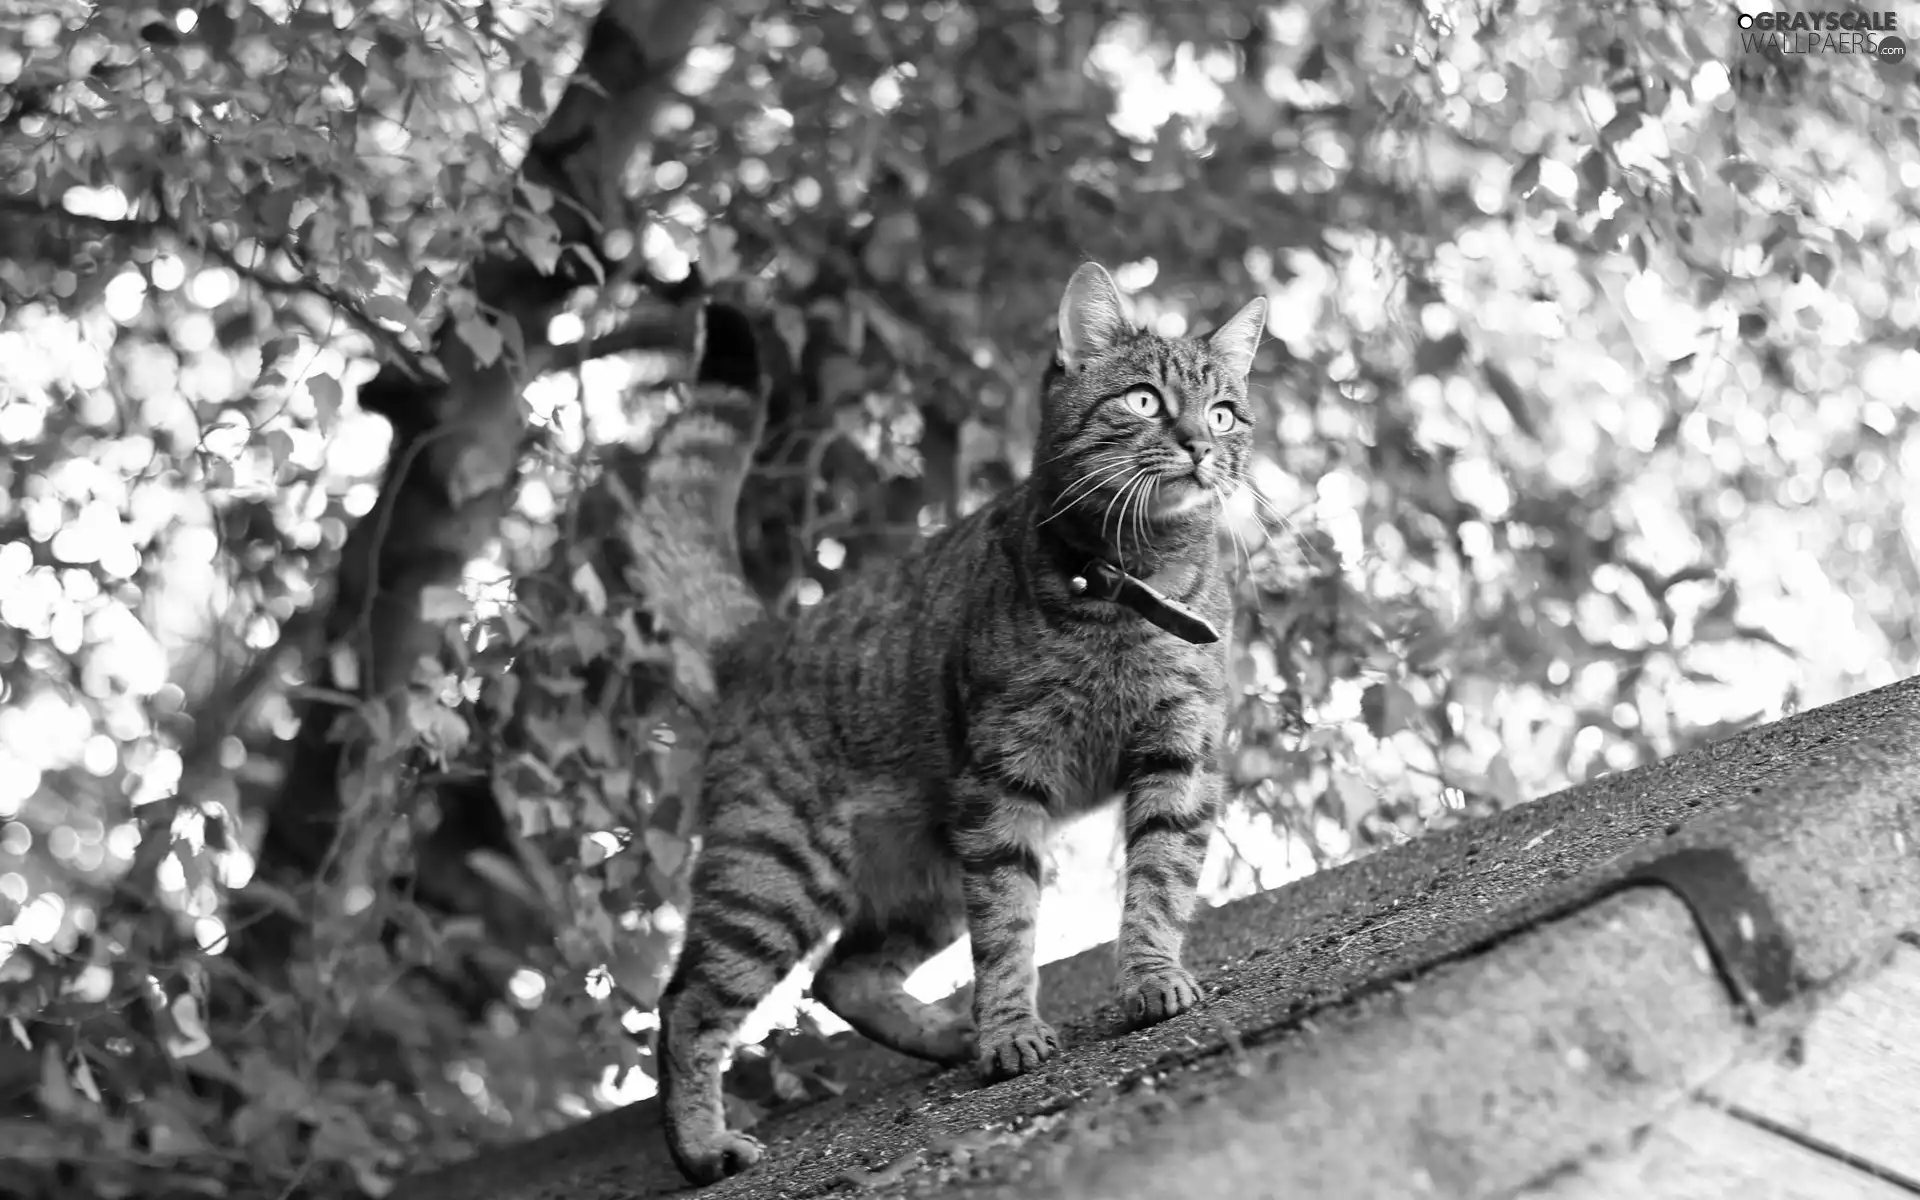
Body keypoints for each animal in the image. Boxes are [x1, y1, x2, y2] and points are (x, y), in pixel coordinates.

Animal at [641, 261, 1274, 1182]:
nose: (1198, 443)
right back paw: (700, 1148)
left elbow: (1158, 886)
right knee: (686, 1003)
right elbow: (1008, 932)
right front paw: (1010, 1031)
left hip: (927, 877)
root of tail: (764, 638)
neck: (1127, 581)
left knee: (841, 977)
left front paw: (1150, 979)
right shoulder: (1004, 786)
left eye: (1222, 411)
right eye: (1145, 400)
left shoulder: (1176, 756)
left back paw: (948, 1033)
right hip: (774, 872)